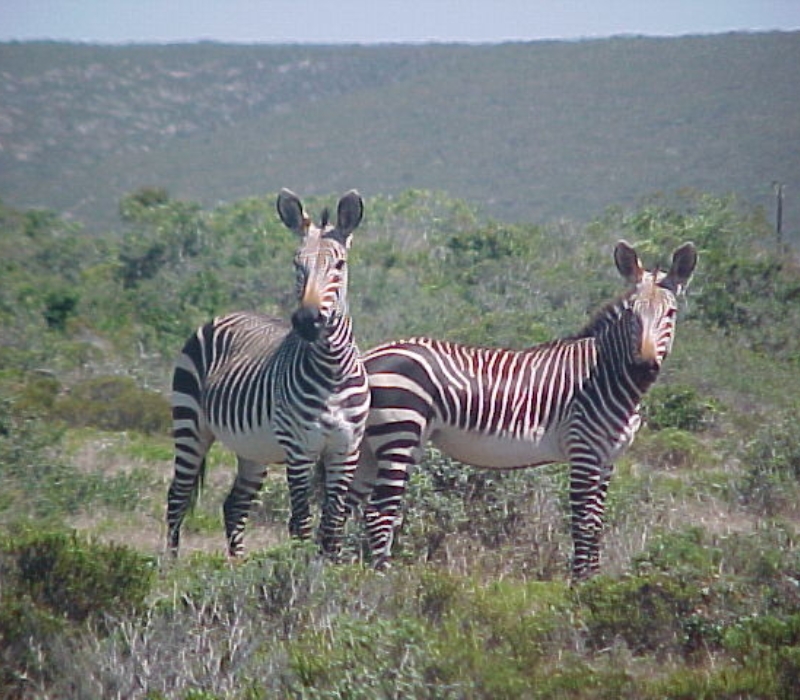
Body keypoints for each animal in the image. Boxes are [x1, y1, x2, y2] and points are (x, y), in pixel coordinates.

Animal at [167, 189, 369, 558]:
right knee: (177, 497)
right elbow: (302, 524)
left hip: (252, 449)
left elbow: (332, 528)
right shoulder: (299, 450)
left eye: (339, 264)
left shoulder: (346, 449)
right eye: (296, 264)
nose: (307, 321)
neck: (332, 369)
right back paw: (169, 566)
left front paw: (331, 570)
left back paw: (239, 566)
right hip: (189, 425)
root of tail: (226, 314)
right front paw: (299, 571)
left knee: (233, 506)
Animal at [349, 240, 697, 580]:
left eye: (670, 313)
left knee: (346, 503)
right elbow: (582, 522)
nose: (643, 367)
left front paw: (595, 582)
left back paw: (337, 571)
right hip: (399, 434)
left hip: (373, 445)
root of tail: (370, 356)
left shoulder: (608, 457)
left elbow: (597, 522)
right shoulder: (583, 450)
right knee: (379, 511)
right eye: (631, 315)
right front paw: (580, 585)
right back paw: (383, 579)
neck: (604, 374)